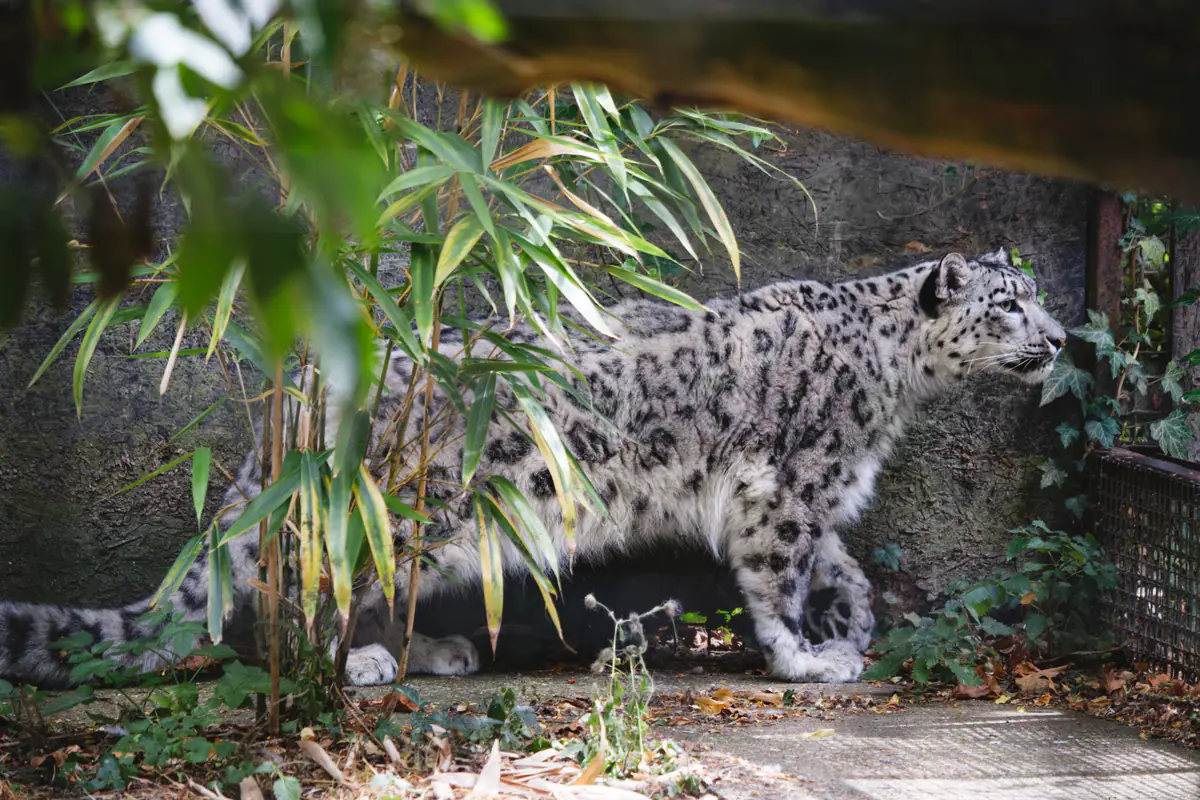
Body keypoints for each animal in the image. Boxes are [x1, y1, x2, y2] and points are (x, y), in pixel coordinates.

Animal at [0, 249, 1065, 688]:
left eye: (1037, 297)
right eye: (1007, 304)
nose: (1058, 338)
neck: (892, 383)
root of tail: (298, 404)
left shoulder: (819, 497)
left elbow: (842, 565)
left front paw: (855, 620)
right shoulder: (786, 490)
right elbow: (777, 579)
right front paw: (808, 658)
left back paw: (433, 651)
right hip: (400, 507)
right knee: (306, 585)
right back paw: (359, 664)